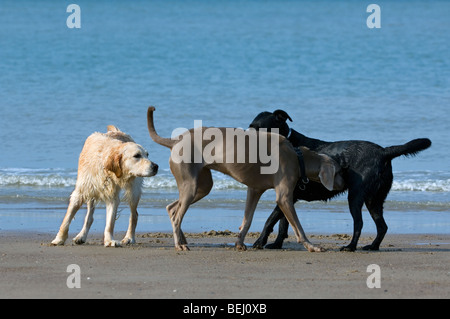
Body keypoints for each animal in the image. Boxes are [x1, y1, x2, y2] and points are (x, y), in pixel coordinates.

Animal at [251, 110, 430, 252]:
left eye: (262, 130)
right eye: (250, 128)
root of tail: (384, 152)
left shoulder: (287, 196)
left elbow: (270, 220)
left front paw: (259, 242)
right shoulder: (287, 197)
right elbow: (284, 223)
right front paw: (276, 244)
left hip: (356, 196)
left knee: (359, 223)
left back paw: (350, 247)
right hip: (374, 199)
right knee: (382, 226)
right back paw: (373, 246)